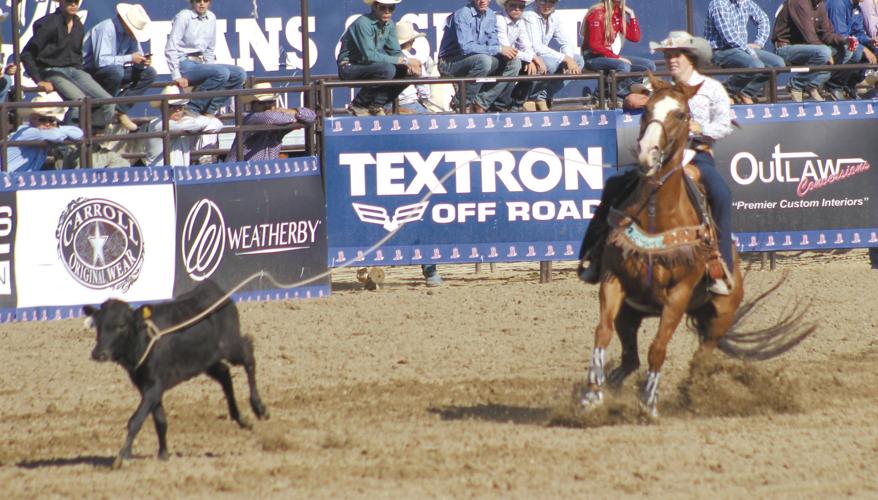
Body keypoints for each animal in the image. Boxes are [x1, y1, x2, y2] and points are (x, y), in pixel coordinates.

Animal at [87, 280, 270, 466]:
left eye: (121, 326)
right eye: (98, 325)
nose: (98, 353)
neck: (144, 340)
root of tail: (214, 290)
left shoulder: (154, 386)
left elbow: (136, 420)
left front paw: (122, 456)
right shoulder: (147, 387)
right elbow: (160, 420)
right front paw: (163, 453)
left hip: (231, 346)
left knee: (248, 356)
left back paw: (259, 407)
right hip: (207, 361)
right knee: (225, 375)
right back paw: (241, 419)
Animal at [580, 76, 816, 416]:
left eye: (680, 114)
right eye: (646, 110)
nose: (647, 154)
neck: (657, 215)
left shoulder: (679, 294)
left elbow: (658, 348)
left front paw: (648, 404)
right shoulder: (614, 281)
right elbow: (602, 332)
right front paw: (591, 395)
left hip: (719, 318)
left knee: (699, 360)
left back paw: (692, 396)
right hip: (631, 313)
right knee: (629, 359)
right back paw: (611, 387)